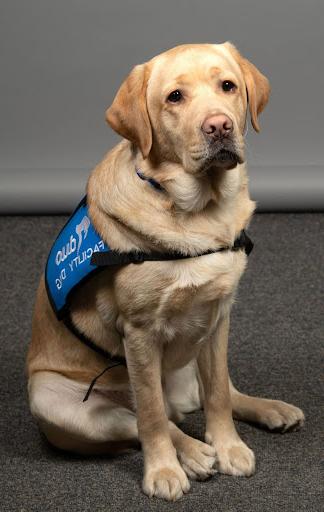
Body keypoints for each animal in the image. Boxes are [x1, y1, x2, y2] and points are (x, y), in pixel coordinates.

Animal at [26, 43, 306, 500]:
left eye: (227, 86)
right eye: (175, 97)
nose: (219, 126)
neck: (200, 212)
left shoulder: (218, 316)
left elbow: (219, 393)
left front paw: (228, 447)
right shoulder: (139, 333)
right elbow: (151, 415)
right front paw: (164, 471)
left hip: (190, 358)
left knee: (210, 395)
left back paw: (270, 410)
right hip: (54, 400)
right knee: (148, 419)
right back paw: (192, 454)